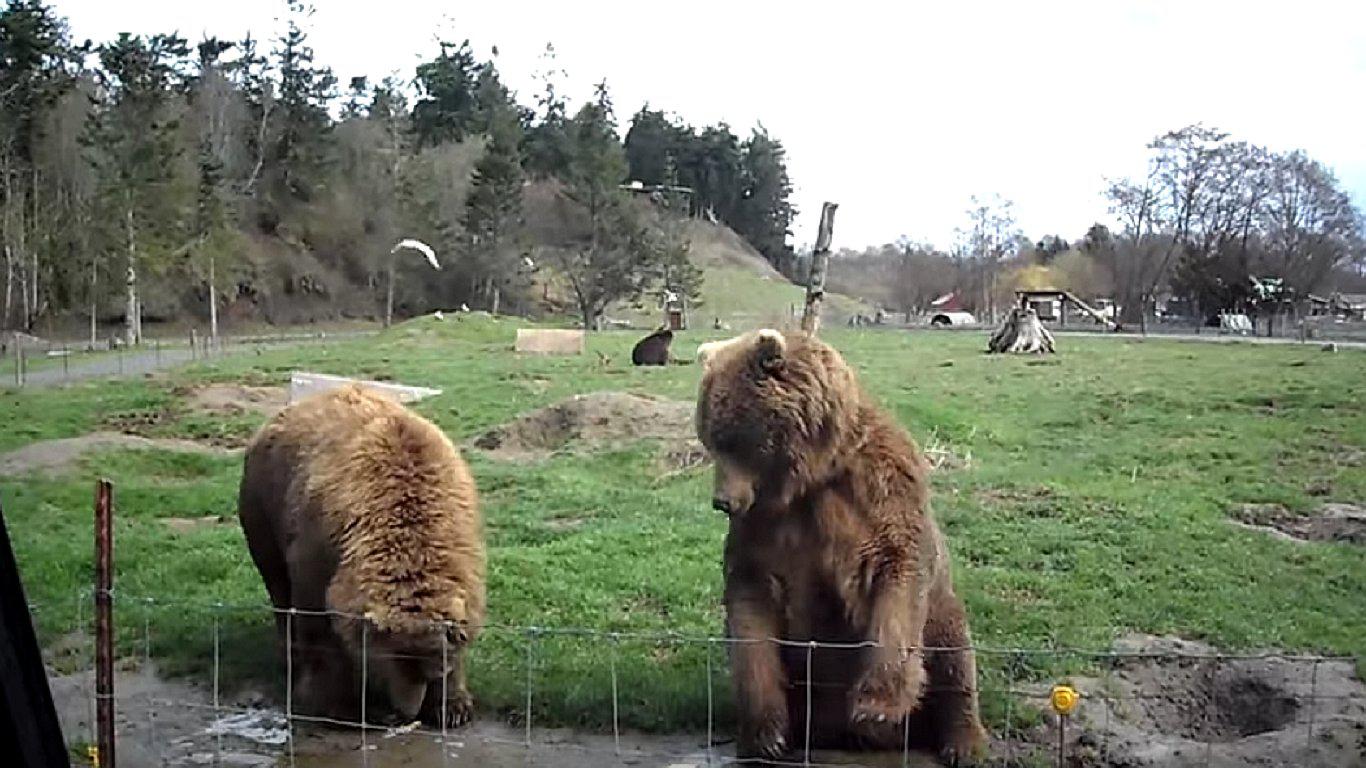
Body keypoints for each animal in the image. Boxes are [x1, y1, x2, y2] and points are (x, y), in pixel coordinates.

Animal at [237, 384, 485, 727]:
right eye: (389, 664)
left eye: (430, 671)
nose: (406, 712)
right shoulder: (320, 549)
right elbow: (319, 628)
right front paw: (339, 702)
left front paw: (453, 707)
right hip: (263, 506)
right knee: (277, 583)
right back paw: (289, 656)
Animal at [694, 329, 987, 765]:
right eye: (708, 437)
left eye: (732, 439)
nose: (723, 502)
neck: (811, 478)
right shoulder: (766, 526)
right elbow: (751, 610)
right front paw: (766, 735)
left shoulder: (878, 491)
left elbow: (897, 578)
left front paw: (875, 707)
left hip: (942, 616)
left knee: (954, 658)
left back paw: (961, 742)